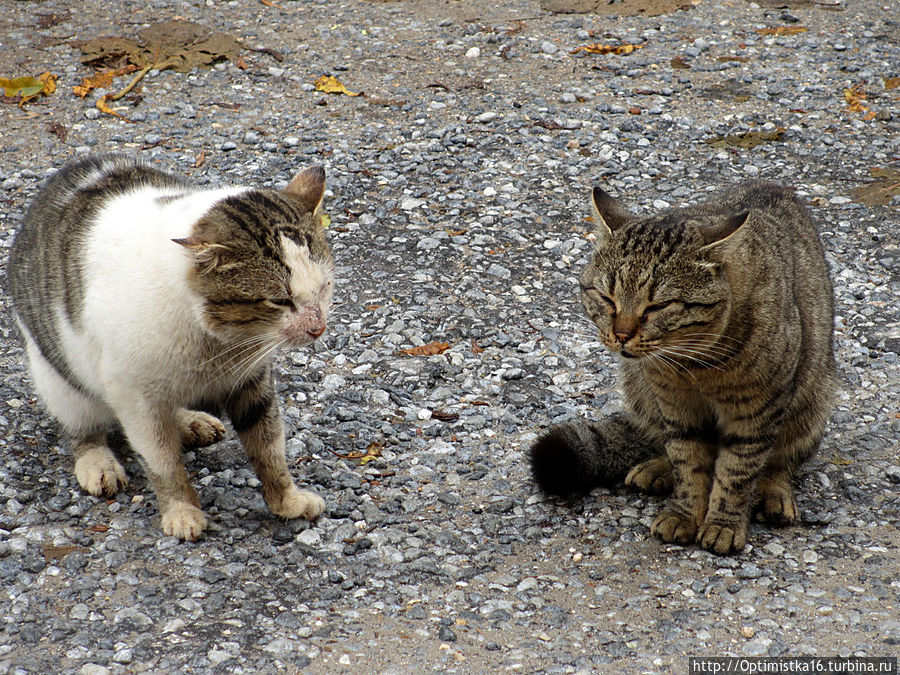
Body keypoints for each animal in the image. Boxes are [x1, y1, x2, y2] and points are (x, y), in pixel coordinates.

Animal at [532, 181, 832, 556]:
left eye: (657, 306)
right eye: (607, 299)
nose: (621, 334)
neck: (696, 366)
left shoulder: (755, 412)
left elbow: (737, 472)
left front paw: (722, 524)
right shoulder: (675, 406)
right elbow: (687, 462)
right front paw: (685, 514)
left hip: (811, 402)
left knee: (780, 461)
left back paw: (774, 494)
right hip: (640, 390)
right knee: (663, 442)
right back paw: (657, 469)